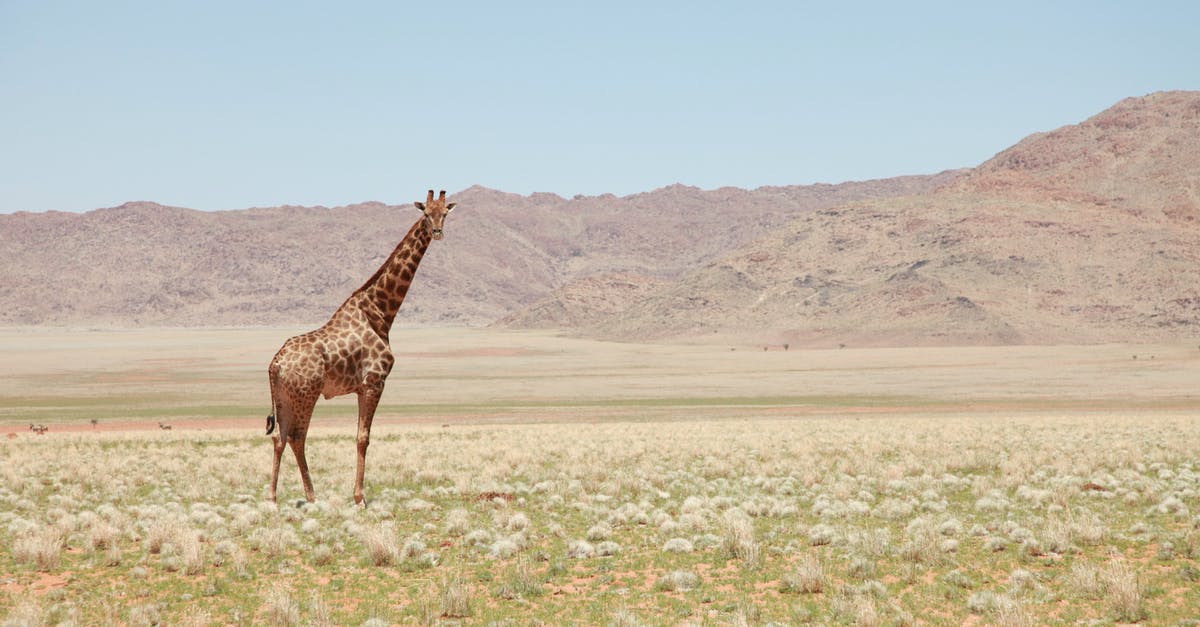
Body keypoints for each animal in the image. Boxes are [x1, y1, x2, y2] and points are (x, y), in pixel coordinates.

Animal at [266, 188, 453, 502]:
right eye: (426, 213)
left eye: (445, 213)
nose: (438, 232)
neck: (380, 312)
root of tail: (274, 365)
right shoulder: (374, 382)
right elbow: (363, 438)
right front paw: (359, 498)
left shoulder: (360, 387)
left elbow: (359, 436)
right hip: (306, 394)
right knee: (297, 436)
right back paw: (310, 495)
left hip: (284, 397)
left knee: (280, 437)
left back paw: (273, 497)